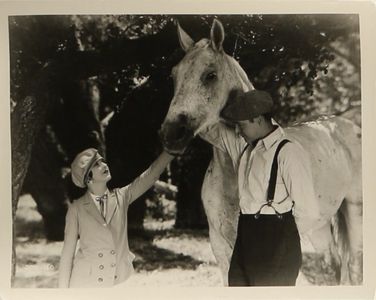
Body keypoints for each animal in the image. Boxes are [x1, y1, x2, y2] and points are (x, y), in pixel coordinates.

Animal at [159, 19, 362, 286]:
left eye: (210, 75)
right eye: (173, 76)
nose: (171, 133)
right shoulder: (222, 249)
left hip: (355, 211)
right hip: (320, 225)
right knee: (335, 267)